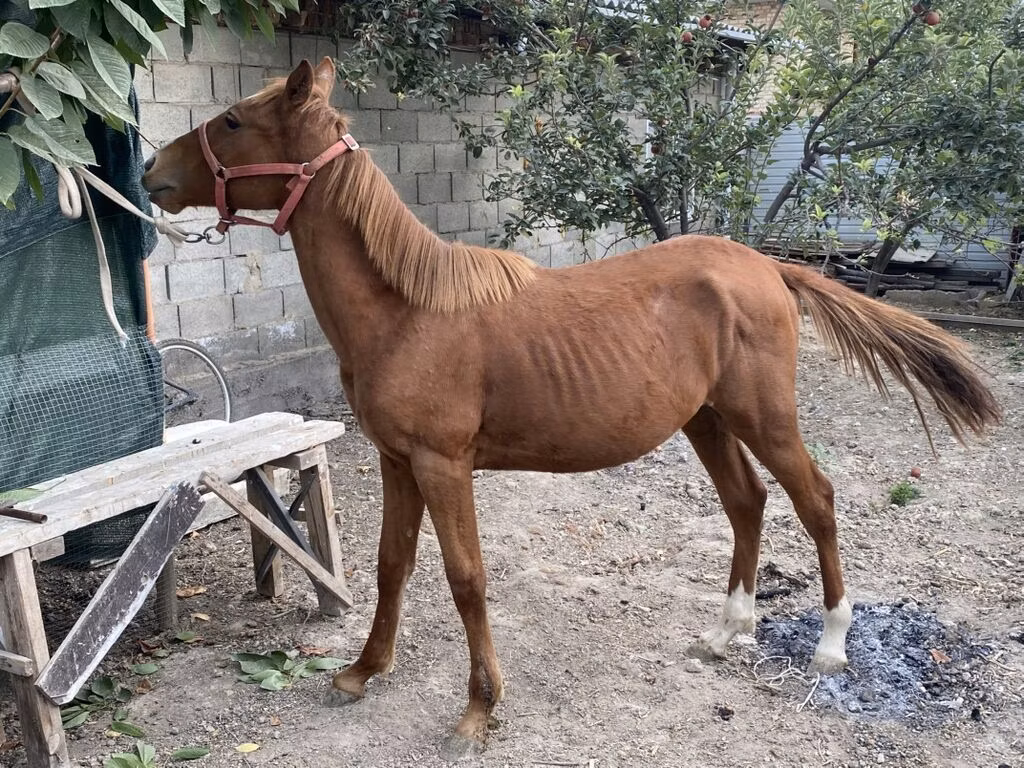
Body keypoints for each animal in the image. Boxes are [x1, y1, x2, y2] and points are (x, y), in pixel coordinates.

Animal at [142, 57, 1000, 757]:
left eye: (233, 121)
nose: (151, 170)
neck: (408, 311)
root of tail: (767, 266)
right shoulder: (396, 462)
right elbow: (392, 566)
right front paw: (362, 671)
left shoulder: (443, 466)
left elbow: (465, 578)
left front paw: (478, 711)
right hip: (707, 420)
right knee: (747, 502)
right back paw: (728, 631)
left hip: (765, 418)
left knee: (815, 500)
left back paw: (829, 646)